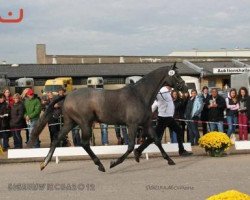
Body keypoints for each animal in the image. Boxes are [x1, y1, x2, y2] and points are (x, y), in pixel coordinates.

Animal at [27, 63, 188, 172]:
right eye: (176, 75)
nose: (185, 88)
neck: (140, 95)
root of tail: (67, 96)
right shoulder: (132, 124)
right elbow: (130, 146)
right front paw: (114, 163)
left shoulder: (147, 123)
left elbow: (155, 139)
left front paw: (169, 160)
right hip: (84, 123)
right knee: (84, 143)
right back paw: (100, 165)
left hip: (70, 123)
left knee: (56, 139)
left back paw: (44, 163)